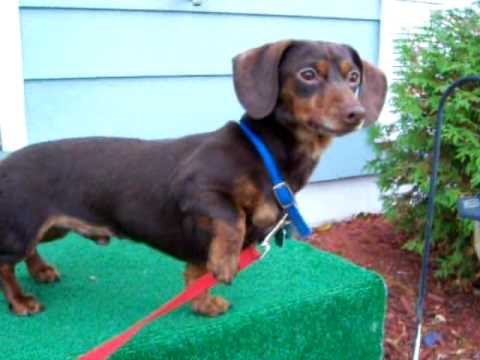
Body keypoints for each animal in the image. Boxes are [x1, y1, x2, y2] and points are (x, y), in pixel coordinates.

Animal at [0, 38, 386, 316]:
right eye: (308, 74)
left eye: (353, 78)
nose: (356, 113)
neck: (264, 151)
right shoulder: (196, 190)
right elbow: (232, 219)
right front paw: (226, 262)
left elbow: (196, 273)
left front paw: (203, 303)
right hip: (22, 227)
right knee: (4, 265)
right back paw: (20, 301)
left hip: (49, 228)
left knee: (29, 251)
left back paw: (41, 270)